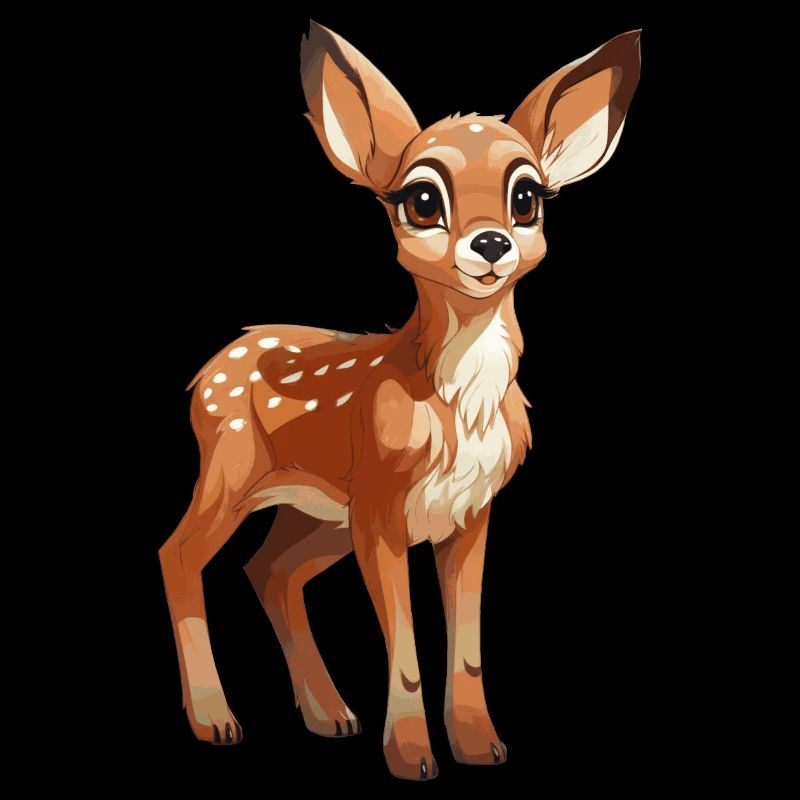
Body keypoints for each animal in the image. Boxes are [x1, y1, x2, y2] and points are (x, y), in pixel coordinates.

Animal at [159, 21, 640, 780]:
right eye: (421, 200)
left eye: (527, 197)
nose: (491, 243)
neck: (457, 407)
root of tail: (205, 373)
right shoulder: (383, 508)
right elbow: (408, 645)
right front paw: (412, 756)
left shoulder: (470, 511)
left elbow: (467, 642)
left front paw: (479, 745)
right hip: (235, 470)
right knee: (178, 553)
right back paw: (217, 721)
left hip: (319, 511)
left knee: (270, 570)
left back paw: (330, 715)